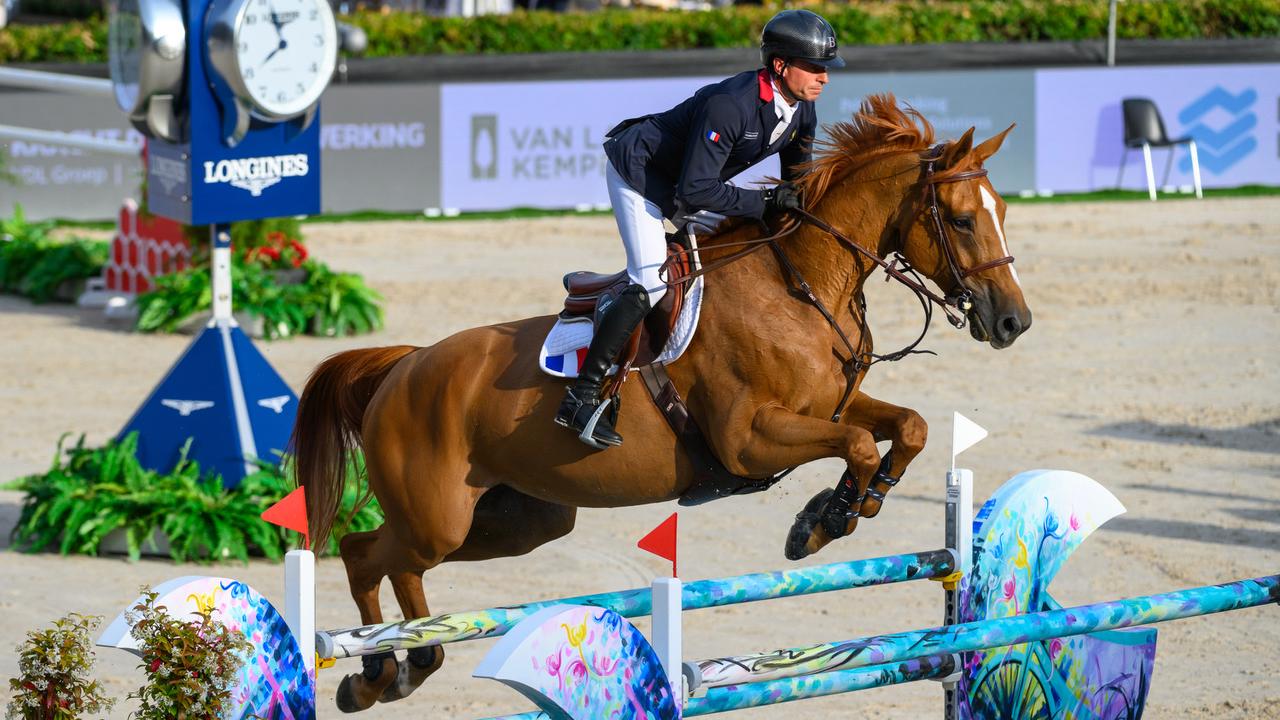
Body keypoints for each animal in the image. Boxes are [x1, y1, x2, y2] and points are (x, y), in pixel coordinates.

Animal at [290, 94, 1029, 707]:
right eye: (963, 220)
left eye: (1001, 214)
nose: (1013, 323)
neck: (799, 286)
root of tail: (403, 366)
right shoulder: (748, 440)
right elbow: (855, 446)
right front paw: (824, 520)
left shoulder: (829, 406)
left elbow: (909, 428)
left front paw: (854, 504)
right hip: (438, 515)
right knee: (364, 554)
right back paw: (376, 673)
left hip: (514, 520)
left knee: (397, 564)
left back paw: (408, 662)